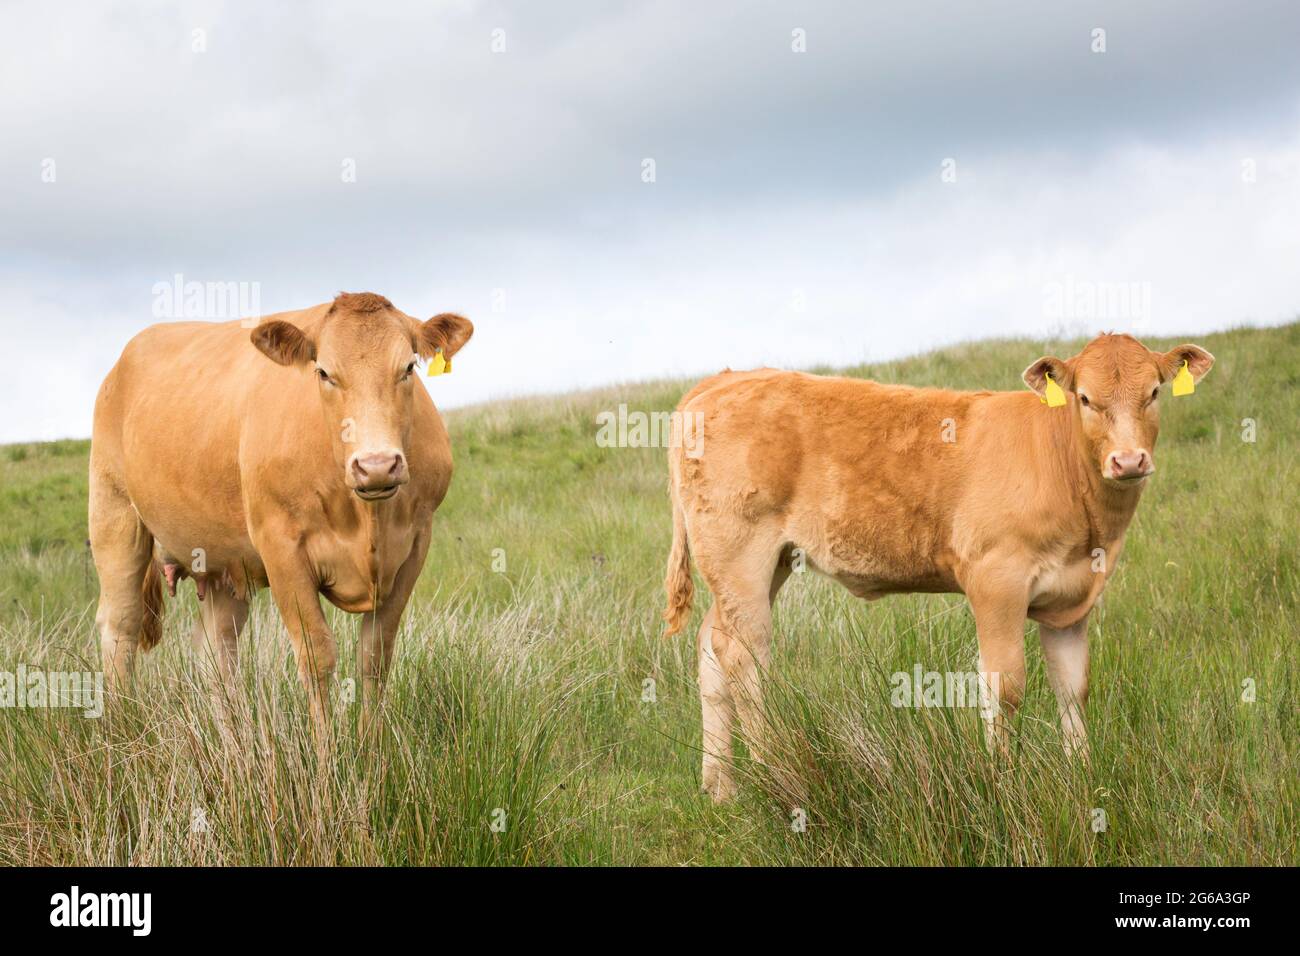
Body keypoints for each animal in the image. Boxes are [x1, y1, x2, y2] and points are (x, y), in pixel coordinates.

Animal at [89, 292, 473, 729]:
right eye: (323, 373)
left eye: (408, 367)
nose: (376, 465)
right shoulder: (281, 549)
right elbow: (317, 657)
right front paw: (328, 750)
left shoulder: (415, 545)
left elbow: (375, 658)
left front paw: (372, 745)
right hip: (113, 512)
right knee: (121, 625)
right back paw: (122, 725)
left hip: (222, 562)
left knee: (216, 651)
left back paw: (231, 736)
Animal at [662, 333, 1214, 801]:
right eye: (1084, 398)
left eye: (1154, 392)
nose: (1129, 461)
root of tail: (721, 379)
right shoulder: (997, 580)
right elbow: (1004, 686)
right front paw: (1001, 780)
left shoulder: (1071, 598)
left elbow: (1073, 688)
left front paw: (1082, 776)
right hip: (741, 553)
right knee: (744, 657)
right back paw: (776, 773)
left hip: (762, 563)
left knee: (712, 647)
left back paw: (721, 789)